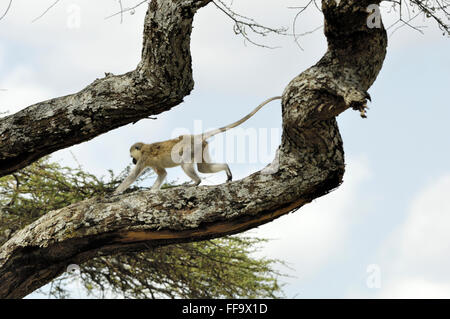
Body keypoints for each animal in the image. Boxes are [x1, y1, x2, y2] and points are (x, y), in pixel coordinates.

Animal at [114, 96, 280, 195]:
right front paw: (152, 191)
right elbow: (162, 174)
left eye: (132, 157)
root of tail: (195, 136)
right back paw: (225, 168)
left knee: (186, 164)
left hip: (191, 148)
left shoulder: (144, 158)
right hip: (201, 148)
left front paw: (115, 194)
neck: (143, 149)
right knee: (203, 168)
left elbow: (132, 176)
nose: (132, 161)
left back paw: (197, 182)